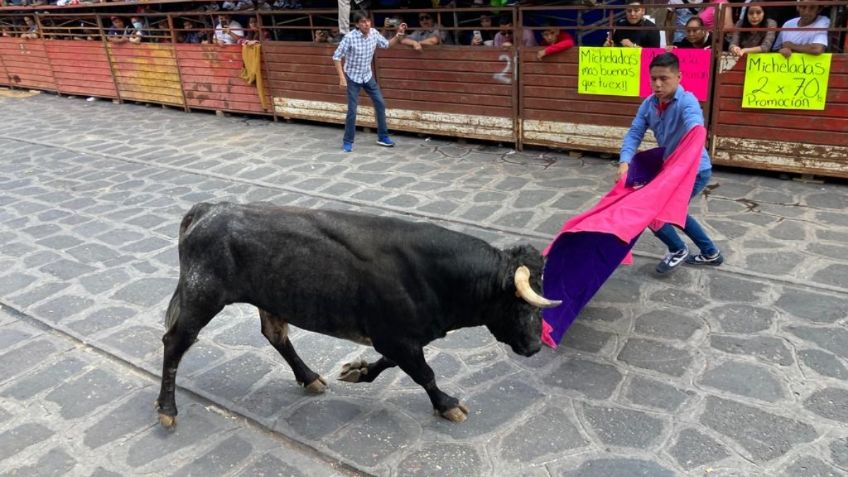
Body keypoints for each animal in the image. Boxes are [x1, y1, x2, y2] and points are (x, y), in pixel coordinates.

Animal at [156, 203, 560, 426]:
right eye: (522, 302)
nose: (535, 347)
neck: (435, 274)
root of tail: (209, 209)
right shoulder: (397, 337)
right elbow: (425, 374)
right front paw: (448, 405)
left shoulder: (398, 338)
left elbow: (393, 364)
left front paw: (358, 371)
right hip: (201, 297)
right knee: (174, 343)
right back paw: (167, 409)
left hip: (268, 297)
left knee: (276, 335)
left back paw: (310, 378)